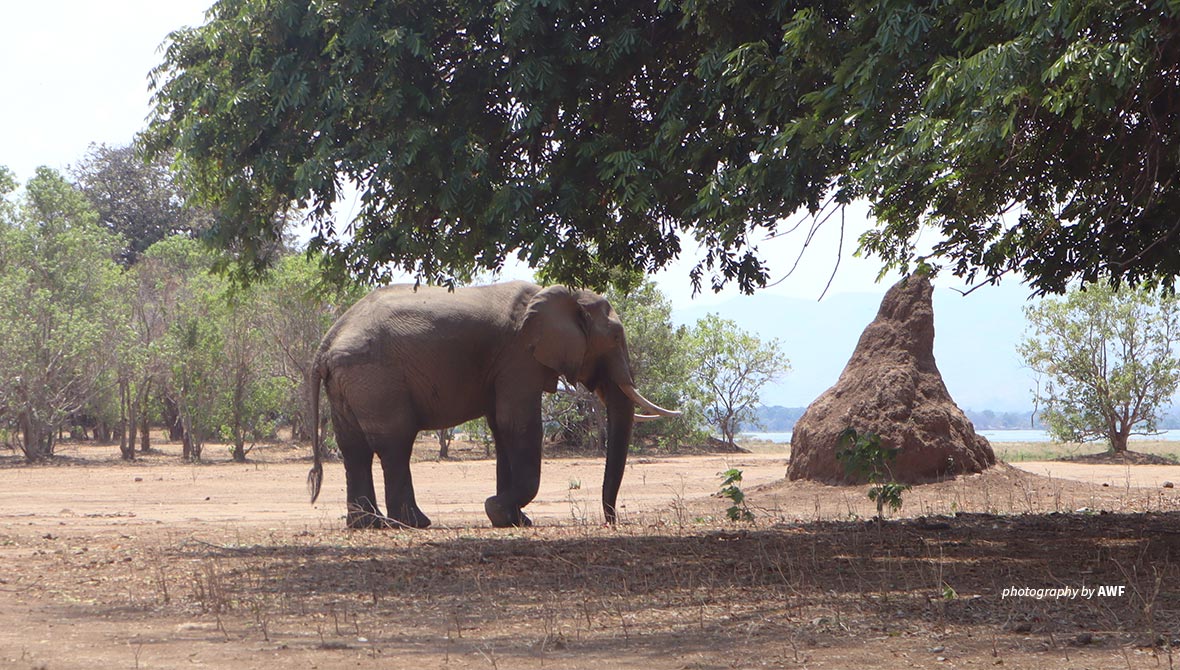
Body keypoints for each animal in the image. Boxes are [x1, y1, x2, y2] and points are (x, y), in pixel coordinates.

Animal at [309, 279, 679, 526]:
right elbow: (518, 424)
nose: (611, 520)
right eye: (615, 337)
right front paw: (497, 510)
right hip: (376, 377)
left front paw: (514, 520)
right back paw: (416, 523)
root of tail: (327, 341)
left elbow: (501, 430)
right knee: (394, 443)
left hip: (349, 381)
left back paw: (367, 524)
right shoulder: (520, 357)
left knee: (353, 449)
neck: (565, 294)